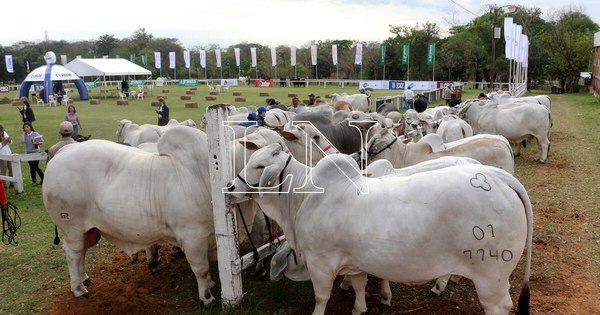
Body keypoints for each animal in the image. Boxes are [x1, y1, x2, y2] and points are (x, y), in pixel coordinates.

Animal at [42, 126, 258, 308]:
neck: (206, 175)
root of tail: (63, 152)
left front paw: (211, 284)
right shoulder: (193, 237)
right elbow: (201, 269)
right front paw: (207, 298)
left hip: (88, 230)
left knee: (81, 254)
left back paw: (84, 277)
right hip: (72, 226)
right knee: (74, 254)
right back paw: (79, 289)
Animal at [227, 145, 532, 315]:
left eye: (259, 165)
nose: (230, 187)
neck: (303, 197)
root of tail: (497, 177)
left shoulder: (320, 263)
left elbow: (321, 297)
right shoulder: (354, 260)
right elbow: (360, 284)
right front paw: (360, 307)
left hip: (490, 277)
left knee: (499, 306)